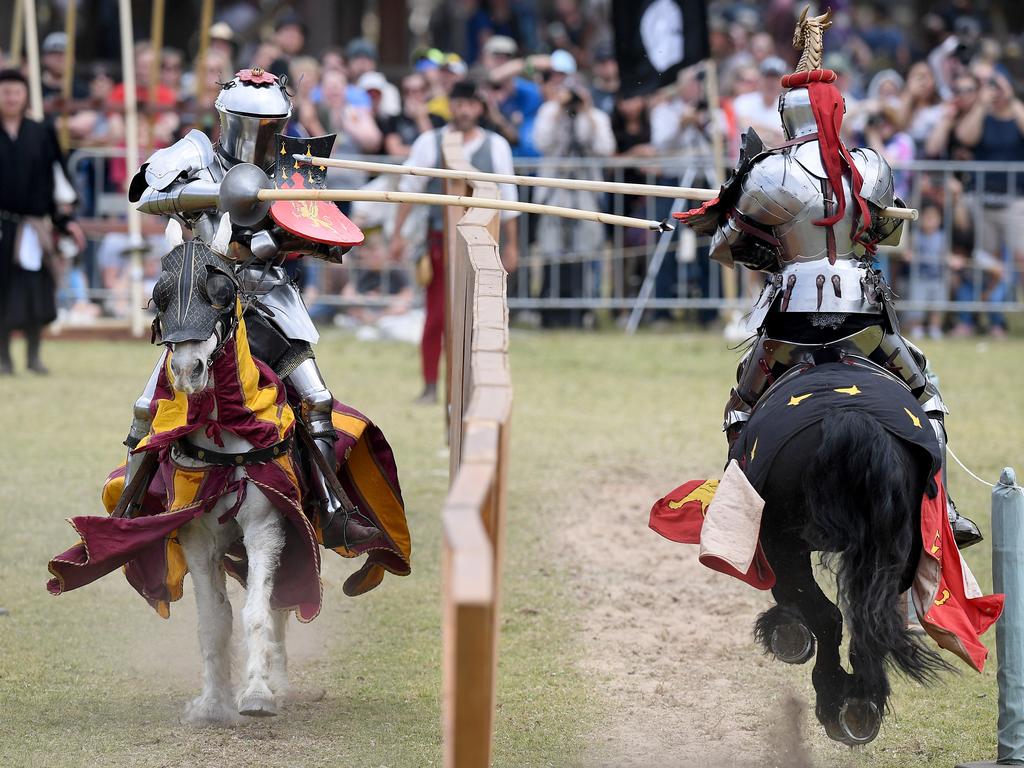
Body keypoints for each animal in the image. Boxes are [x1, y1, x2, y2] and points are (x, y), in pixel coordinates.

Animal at [737, 364, 950, 749]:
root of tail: (850, 420)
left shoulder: (774, 545)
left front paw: (786, 630)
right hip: (893, 552)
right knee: (870, 623)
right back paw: (861, 702)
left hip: (782, 545)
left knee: (828, 617)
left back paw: (833, 696)